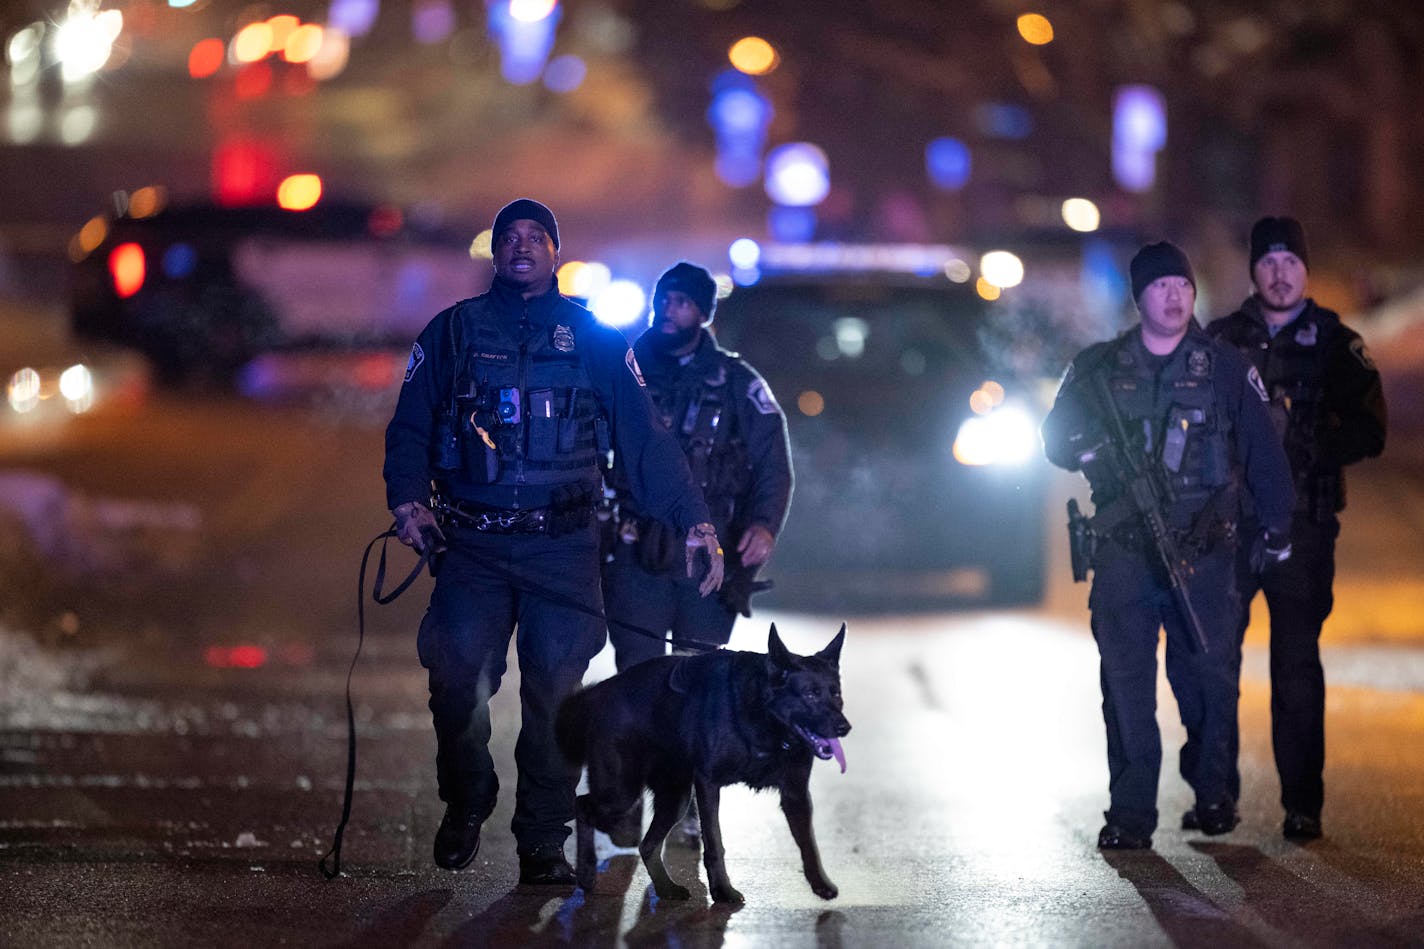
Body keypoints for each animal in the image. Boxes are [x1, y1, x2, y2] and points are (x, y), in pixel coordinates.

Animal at [552, 621, 843, 900]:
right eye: (810, 694)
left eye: (836, 694)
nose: (845, 727)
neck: (765, 721)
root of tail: (602, 690)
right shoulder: (708, 784)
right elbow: (714, 841)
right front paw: (723, 891)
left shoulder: (795, 795)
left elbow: (809, 844)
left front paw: (820, 883)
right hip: (621, 793)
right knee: (582, 806)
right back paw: (587, 871)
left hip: (676, 798)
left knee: (647, 845)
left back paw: (666, 888)